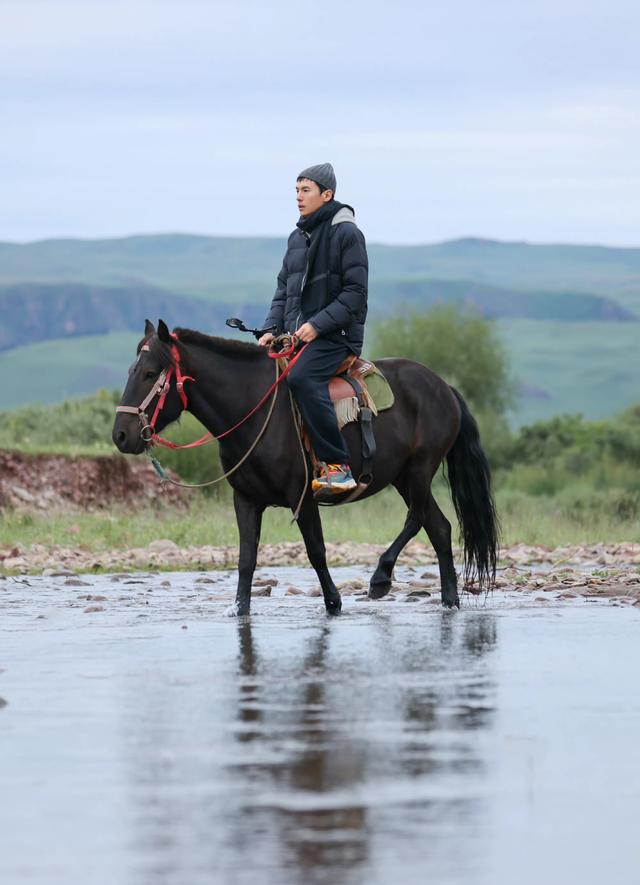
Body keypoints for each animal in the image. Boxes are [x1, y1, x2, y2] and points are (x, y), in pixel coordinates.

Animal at [111, 318, 500, 616]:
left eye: (149, 373)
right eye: (131, 371)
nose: (121, 435)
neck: (253, 409)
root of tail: (444, 387)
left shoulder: (304, 495)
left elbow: (316, 551)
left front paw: (334, 603)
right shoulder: (246, 500)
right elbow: (246, 559)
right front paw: (240, 609)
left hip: (419, 470)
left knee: (418, 518)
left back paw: (380, 577)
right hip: (403, 477)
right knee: (440, 528)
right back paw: (448, 600)